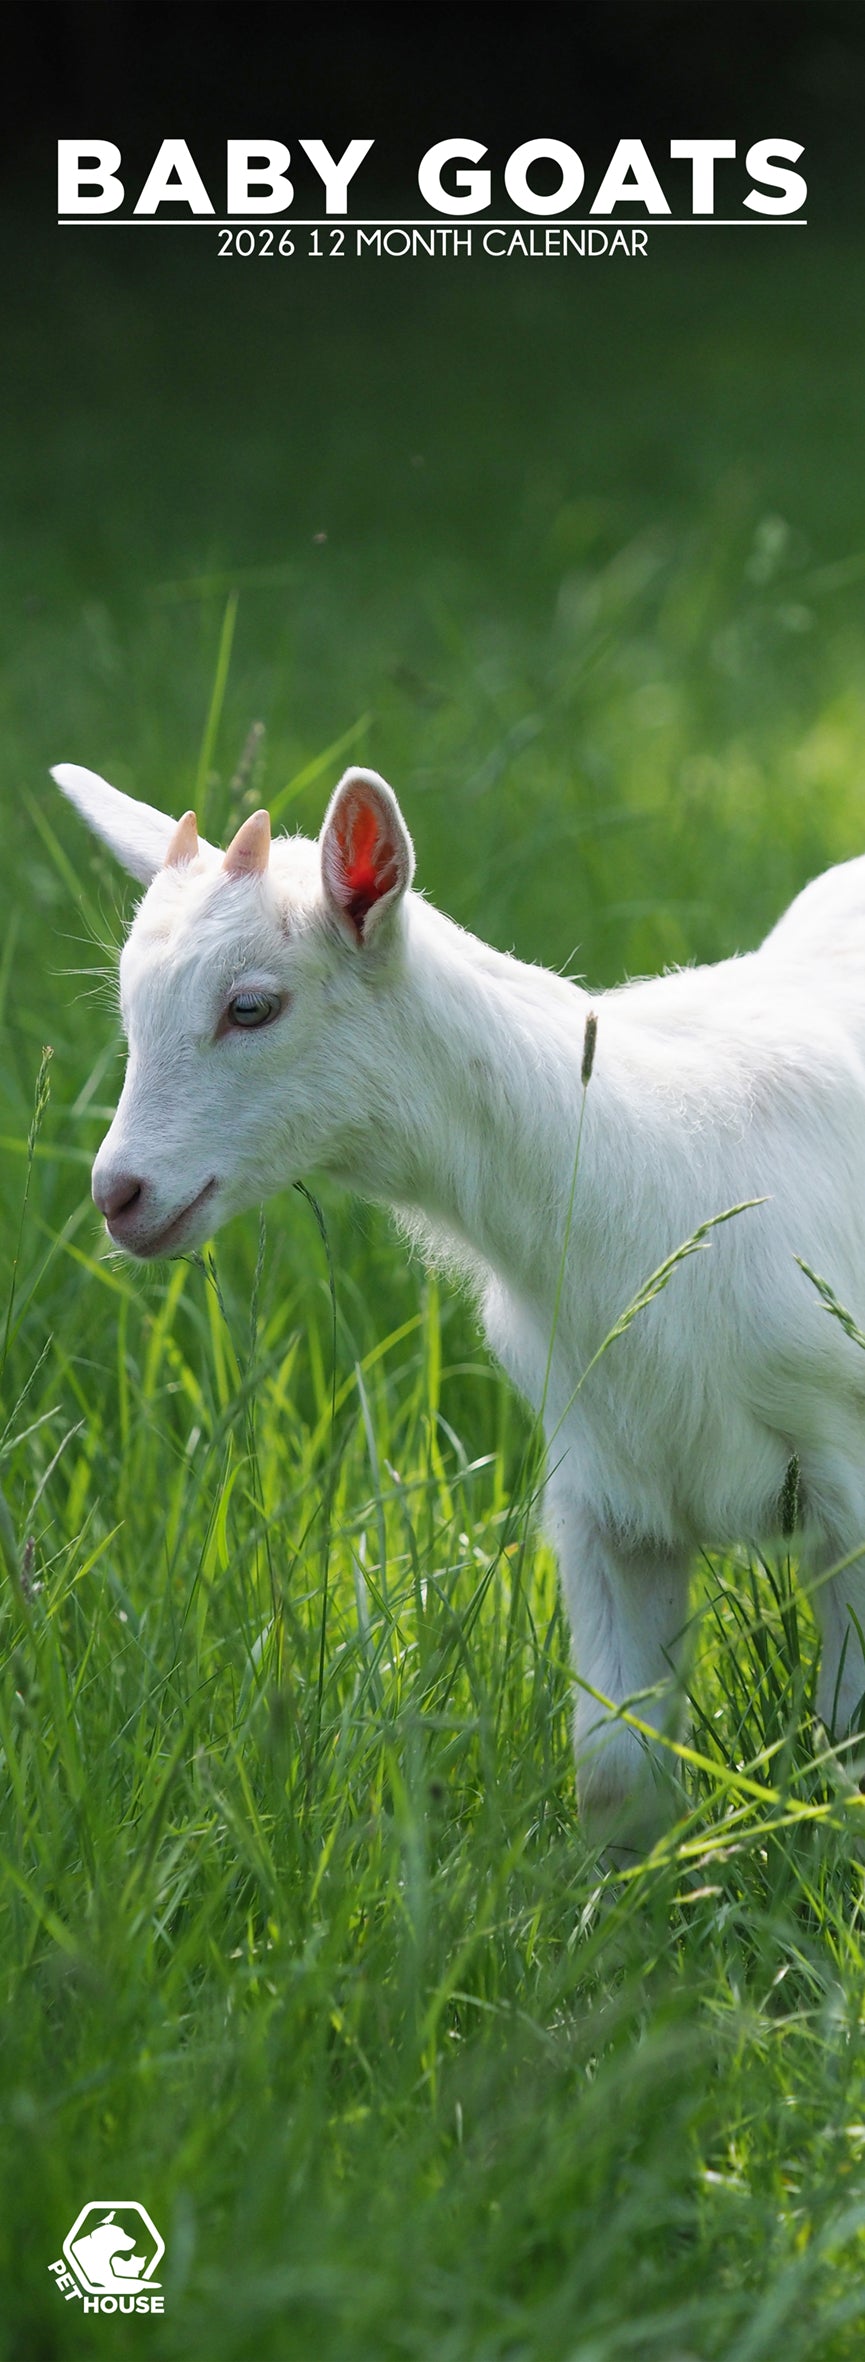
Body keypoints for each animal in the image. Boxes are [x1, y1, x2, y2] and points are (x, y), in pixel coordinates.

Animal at [52, 758, 865, 1848]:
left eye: (252, 1007)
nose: (120, 1195)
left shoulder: (845, 1477)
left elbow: (846, 1742)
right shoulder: (608, 1490)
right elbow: (615, 1773)